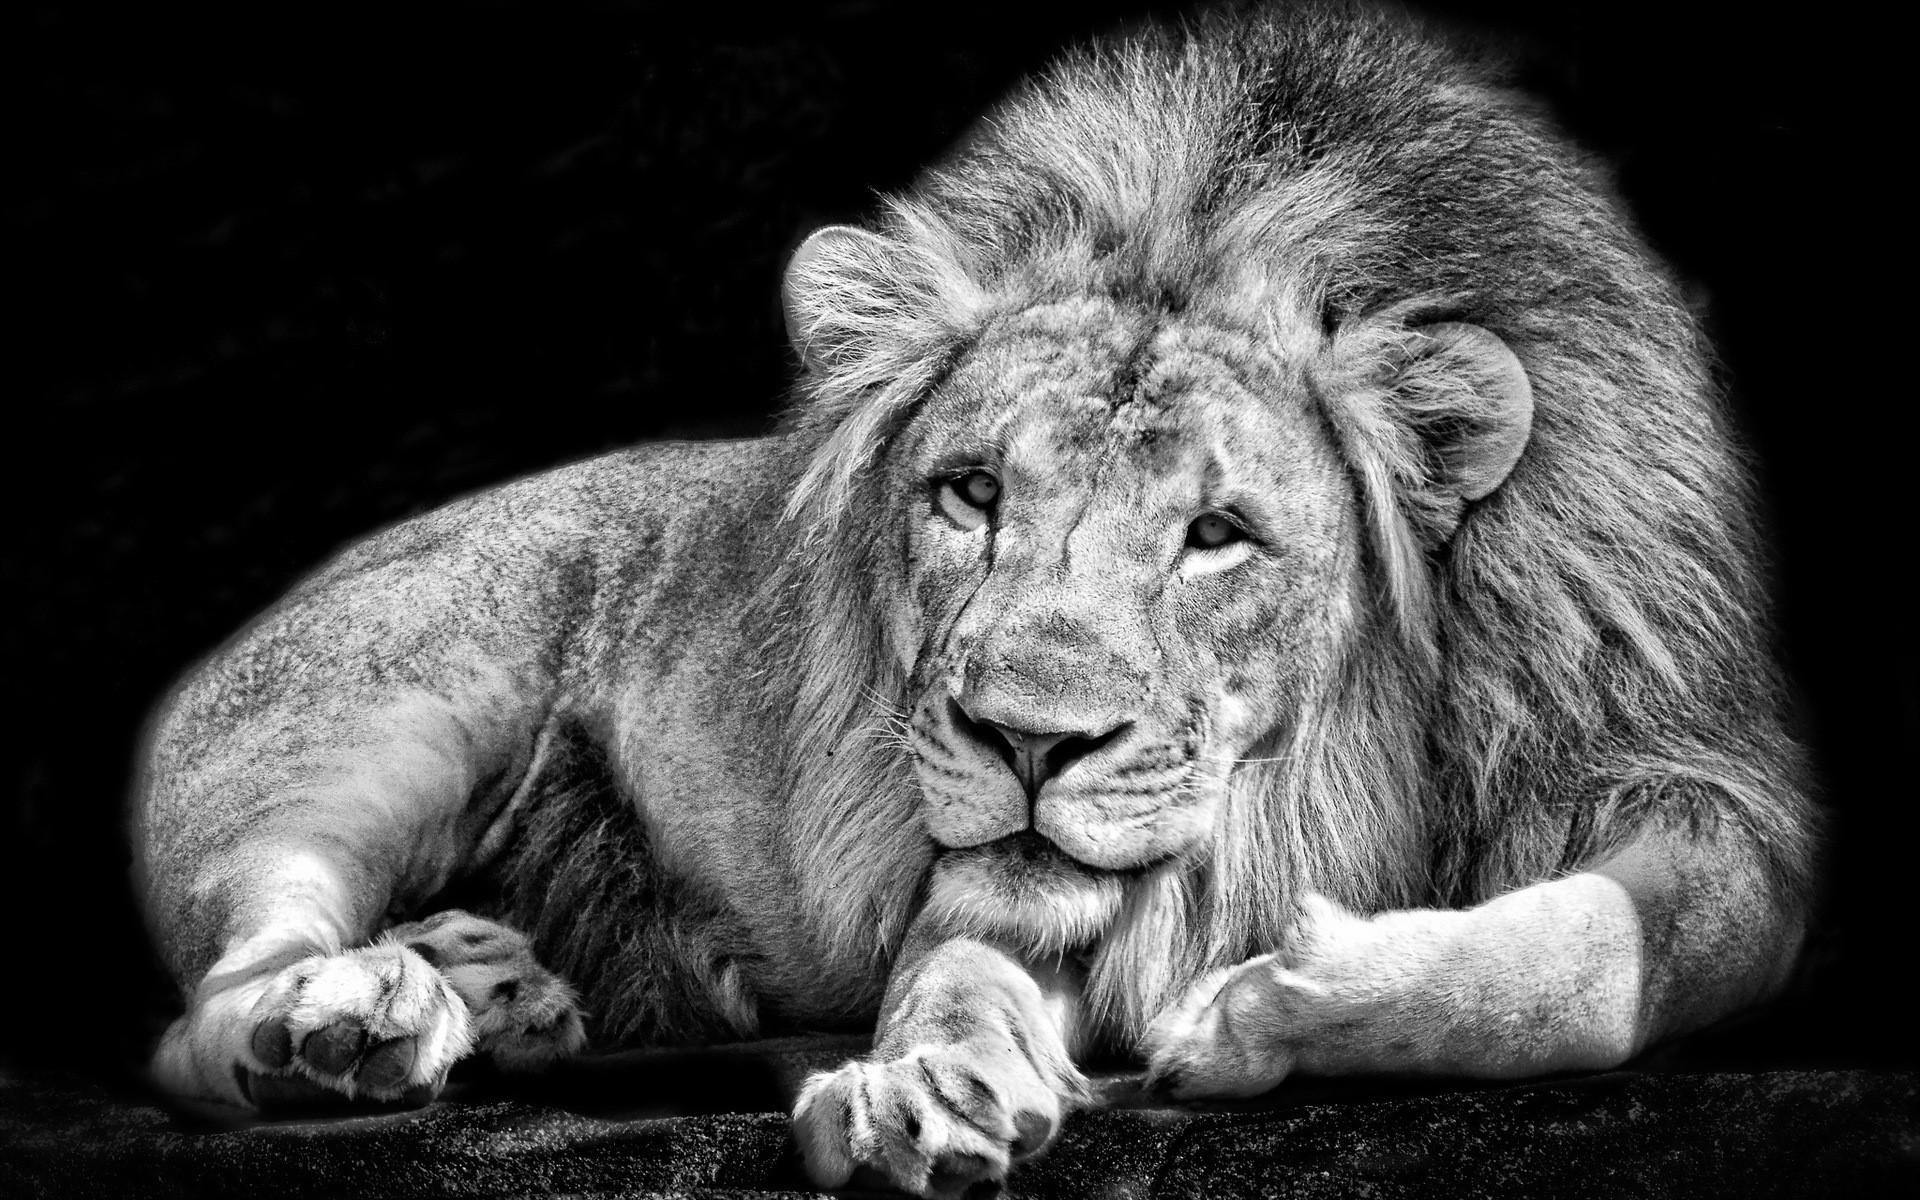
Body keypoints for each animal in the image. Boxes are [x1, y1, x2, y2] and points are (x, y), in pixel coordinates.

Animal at [134, 3, 1817, 1195]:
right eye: (970, 494)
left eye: (1218, 535)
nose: (1026, 743)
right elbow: (957, 961)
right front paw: (924, 1084)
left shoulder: (1698, 778)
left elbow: (1603, 959)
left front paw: (1264, 1003)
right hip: (384, 727)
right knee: (212, 1004)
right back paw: (345, 1025)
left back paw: (498, 986)